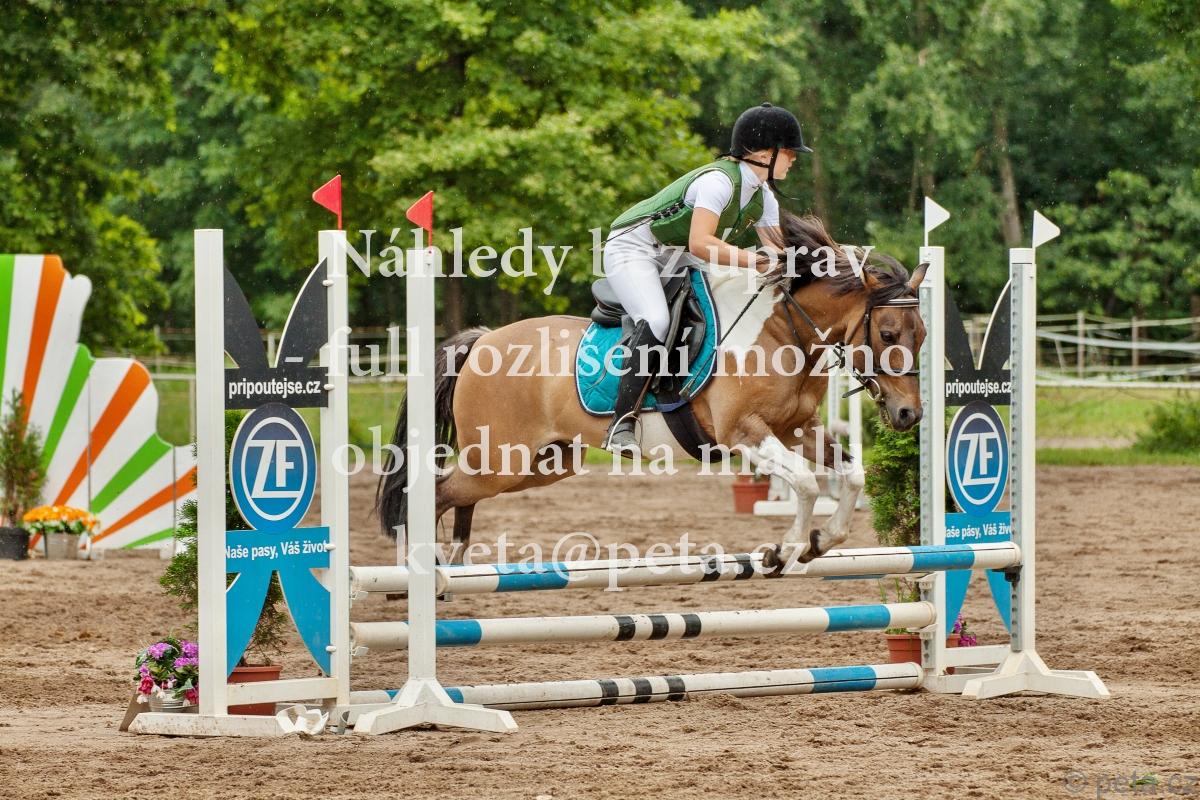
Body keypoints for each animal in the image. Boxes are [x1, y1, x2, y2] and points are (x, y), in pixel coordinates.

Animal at [377, 211, 928, 567]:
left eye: (921, 335)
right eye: (887, 334)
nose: (910, 416)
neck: (781, 330)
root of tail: (483, 339)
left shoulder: (796, 429)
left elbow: (851, 476)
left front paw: (823, 540)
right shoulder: (743, 432)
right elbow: (809, 483)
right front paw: (785, 549)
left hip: (542, 464)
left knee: (455, 497)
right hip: (498, 461)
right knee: (433, 493)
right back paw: (418, 573)